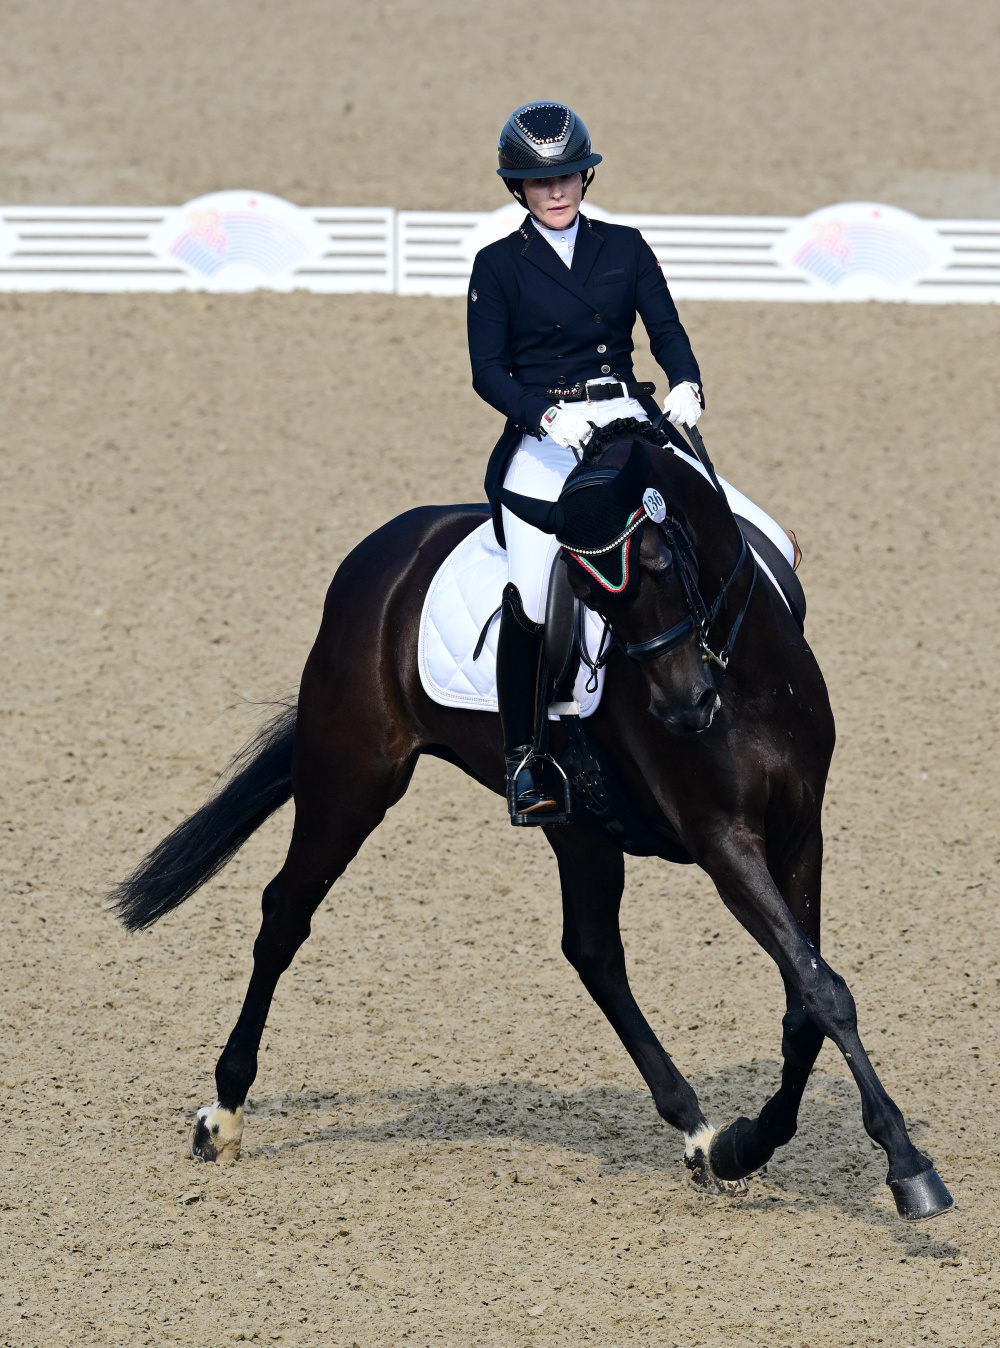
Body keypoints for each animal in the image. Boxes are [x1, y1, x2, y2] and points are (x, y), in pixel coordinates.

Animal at [109, 420, 954, 1223]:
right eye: (592, 599)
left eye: (659, 565)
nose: (684, 710)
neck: (741, 680)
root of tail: (386, 553)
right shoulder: (724, 843)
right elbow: (820, 989)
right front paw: (908, 1170)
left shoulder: (801, 830)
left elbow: (806, 1002)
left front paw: (747, 1143)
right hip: (350, 779)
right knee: (286, 912)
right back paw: (222, 1112)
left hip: (573, 823)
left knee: (592, 952)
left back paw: (697, 1131)